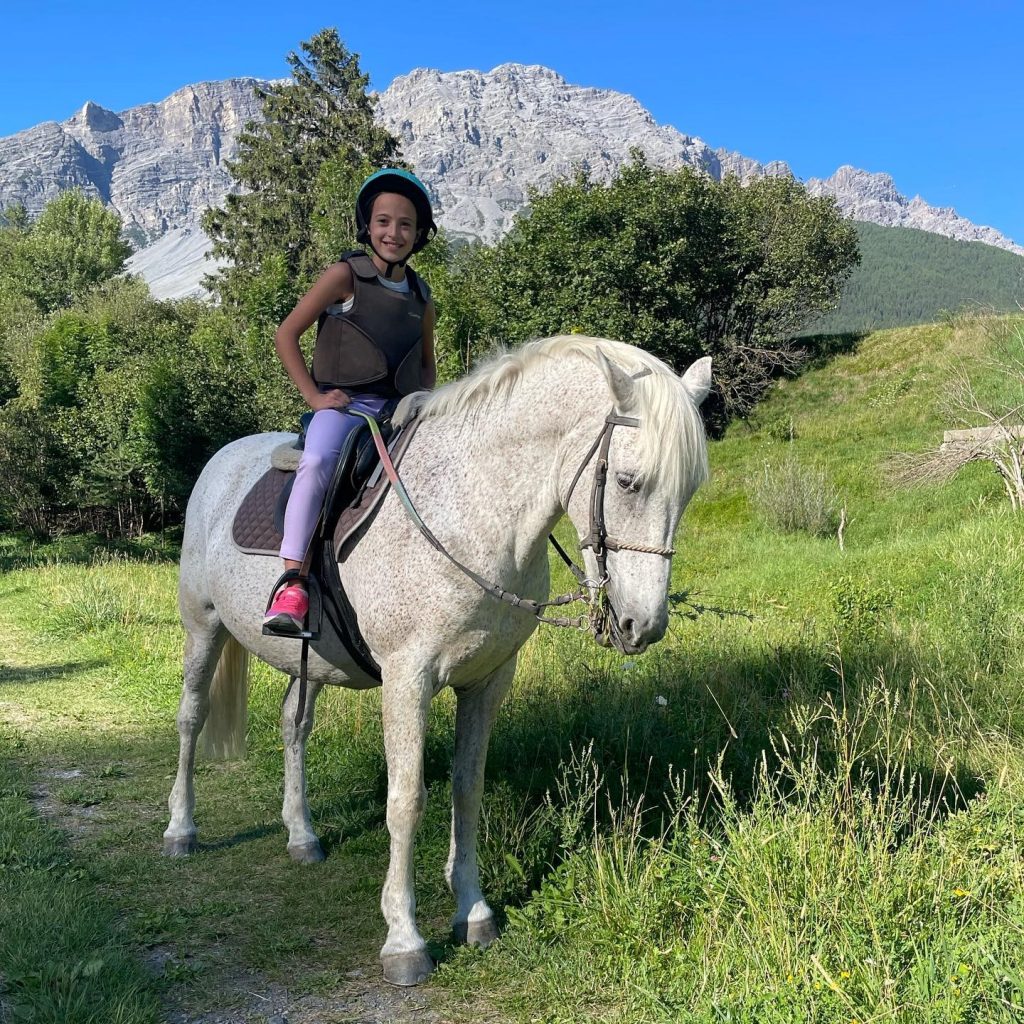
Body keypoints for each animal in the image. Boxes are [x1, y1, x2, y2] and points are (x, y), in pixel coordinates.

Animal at [165, 333, 712, 983]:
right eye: (628, 481)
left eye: (689, 492)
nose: (643, 625)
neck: (471, 512)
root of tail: (222, 459)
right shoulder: (409, 679)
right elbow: (406, 802)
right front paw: (404, 940)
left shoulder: (488, 681)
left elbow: (466, 789)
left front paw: (473, 911)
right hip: (202, 626)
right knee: (191, 718)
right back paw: (181, 830)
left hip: (312, 658)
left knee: (293, 725)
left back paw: (302, 835)